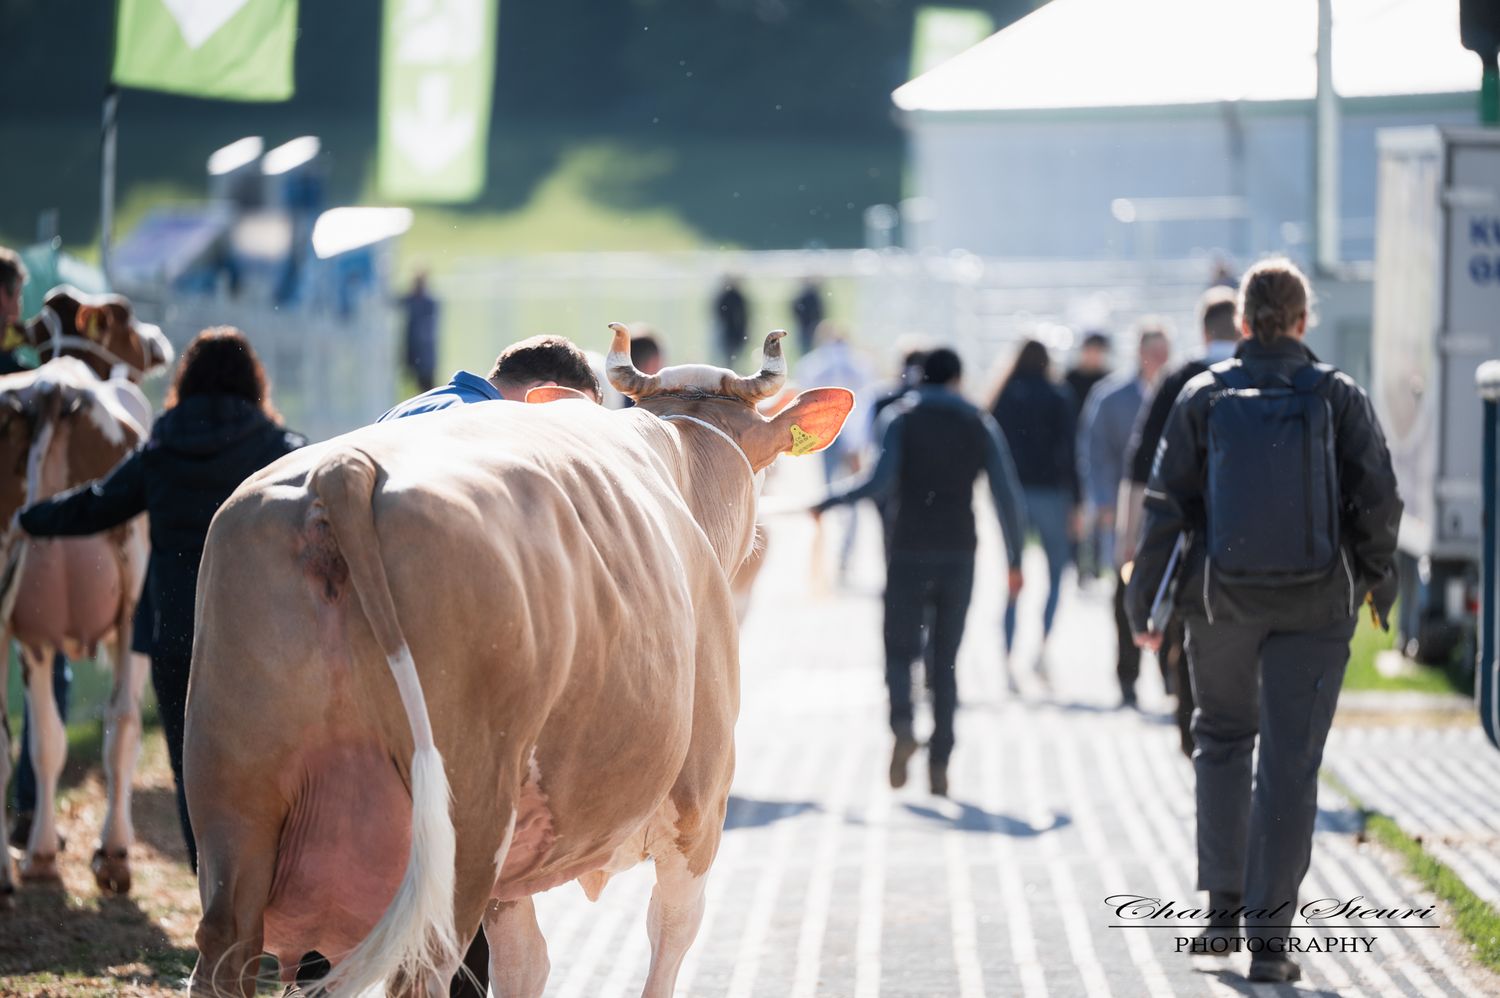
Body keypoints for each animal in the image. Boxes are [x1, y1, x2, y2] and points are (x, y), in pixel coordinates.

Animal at [186, 325, 852, 996]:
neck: (681, 457)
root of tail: (344, 470)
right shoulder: (699, 816)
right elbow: (667, 946)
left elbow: (525, 963)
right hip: (462, 821)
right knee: (421, 967)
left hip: (234, 798)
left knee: (223, 948)